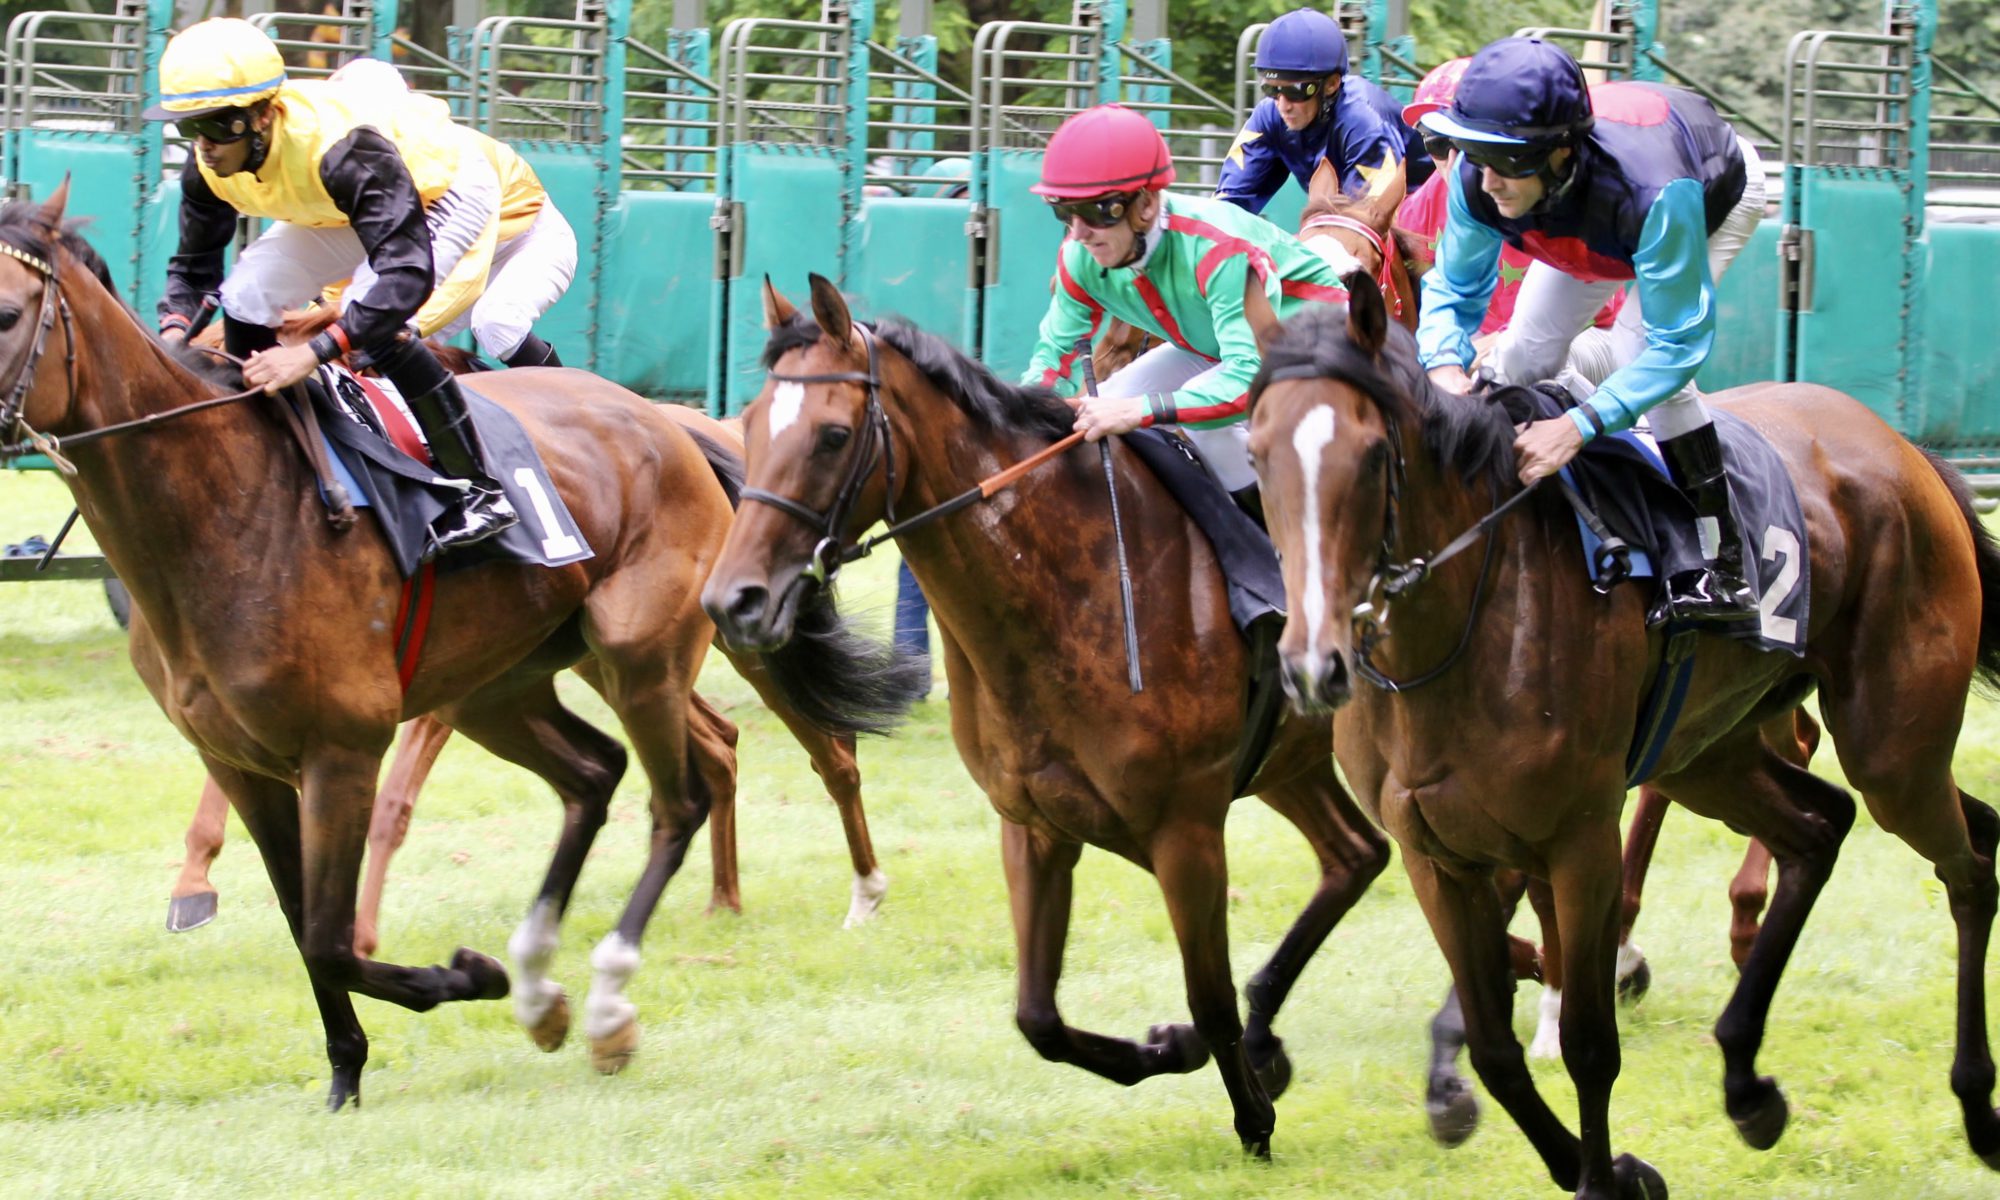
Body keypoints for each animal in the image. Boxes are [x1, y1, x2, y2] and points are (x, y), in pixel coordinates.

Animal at [0, 190, 920, 1104]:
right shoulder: (240, 761)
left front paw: (463, 977)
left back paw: (617, 1000)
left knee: (694, 794)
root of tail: (670, 423)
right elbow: (303, 925)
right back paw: (547, 985)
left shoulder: (343, 746)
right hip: (503, 688)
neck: (224, 507)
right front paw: (346, 1069)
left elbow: (335, 932)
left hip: (647, 652)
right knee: (596, 774)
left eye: (8, 312)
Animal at [704, 276, 1392, 1160]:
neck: (1069, 587)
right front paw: (1178, 1049)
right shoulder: (1033, 824)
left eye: (831, 435)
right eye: (752, 426)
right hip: (1291, 761)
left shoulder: (1186, 830)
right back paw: (1272, 1030)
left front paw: (1252, 1117)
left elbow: (1206, 997)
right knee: (1356, 855)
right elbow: (1038, 1018)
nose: (733, 602)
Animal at [1240, 276, 2000, 1192]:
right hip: (1711, 756)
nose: (1313, 666)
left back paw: (1978, 1103)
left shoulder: (1579, 840)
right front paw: (1604, 1163)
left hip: (1891, 745)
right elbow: (1494, 1050)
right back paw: (1747, 1083)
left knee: (1968, 863)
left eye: (1371, 455)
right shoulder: (1435, 855)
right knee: (1826, 828)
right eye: (1255, 453)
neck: (1458, 636)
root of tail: (1908, 452)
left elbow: (1587, 1046)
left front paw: (1607, 1174)